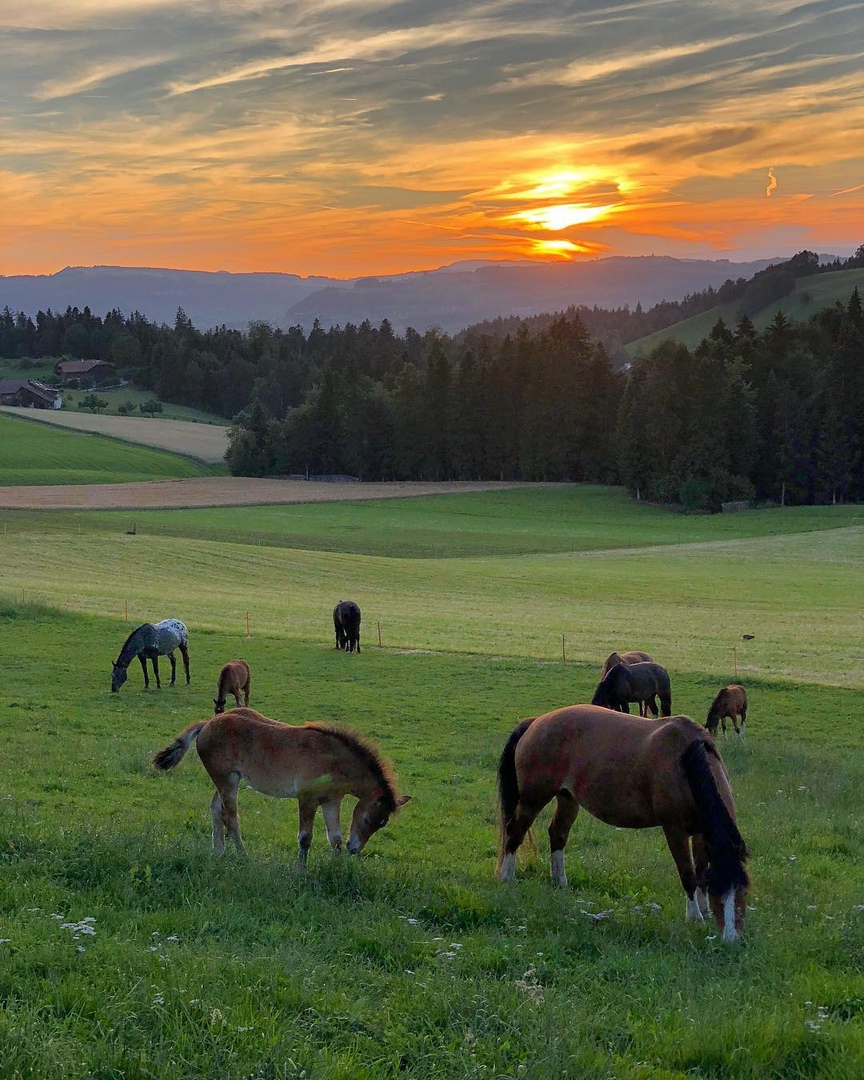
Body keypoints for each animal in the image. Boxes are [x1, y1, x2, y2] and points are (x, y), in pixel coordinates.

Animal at [151, 708, 408, 859]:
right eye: (367, 819)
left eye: (381, 824)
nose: (354, 849)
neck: (334, 760)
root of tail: (206, 723)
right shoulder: (307, 799)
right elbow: (305, 839)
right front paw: (300, 874)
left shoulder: (331, 801)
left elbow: (334, 839)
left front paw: (337, 870)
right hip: (227, 780)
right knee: (231, 817)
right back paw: (242, 856)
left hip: (228, 779)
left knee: (215, 808)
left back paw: (219, 852)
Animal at [496, 704, 751, 941]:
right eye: (719, 895)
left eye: (743, 891)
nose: (731, 938)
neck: (684, 762)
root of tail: (536, 721)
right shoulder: (675, 830)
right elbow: (687, 874)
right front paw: (694, 917)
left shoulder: (701, 832)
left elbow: (700, 871)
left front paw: (703, 911)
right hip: (533, 799)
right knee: (514, 833)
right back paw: (507, 879)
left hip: (567, 798)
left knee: (557, 834)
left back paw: (560, 883)